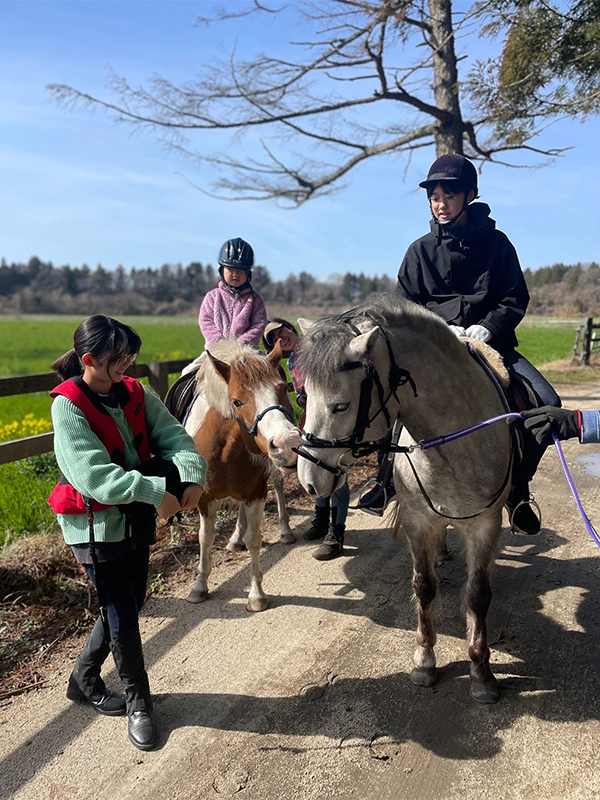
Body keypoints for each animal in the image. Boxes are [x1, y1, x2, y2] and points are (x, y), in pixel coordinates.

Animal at [182, 340, 296, 612]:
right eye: (236, 401)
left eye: (282, 388)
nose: (287, 443)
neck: (225, 450)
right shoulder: (205, 498)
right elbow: (205, 539)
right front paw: (199, 586)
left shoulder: (257, 492)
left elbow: (254, 539)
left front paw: (256, 594)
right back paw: (235, 539)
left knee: (278, 487)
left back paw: (284, 531)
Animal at [296, 296, 510, 704]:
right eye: (304, 397)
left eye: (341, 406)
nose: (309, 480)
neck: (451, 445)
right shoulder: (416, 520)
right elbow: (424, 587)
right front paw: (425, 661)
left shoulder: (486, 524)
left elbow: (478, 595)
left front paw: (481, 671)